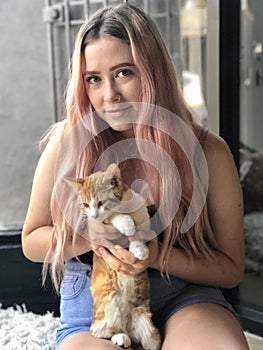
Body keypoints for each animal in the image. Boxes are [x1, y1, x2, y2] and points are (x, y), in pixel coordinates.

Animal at [66, 164, 161, 350]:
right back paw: (120, 337)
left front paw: (140, 249)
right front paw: (126, 224)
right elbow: (113, 217)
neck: (125, 208)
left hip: (150, 332)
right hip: (108, 303)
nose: (94, 215)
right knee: (102, 331)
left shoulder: (143, 213)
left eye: (101, 202)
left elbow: (141, 228)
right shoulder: (102, 224)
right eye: (86, 204)